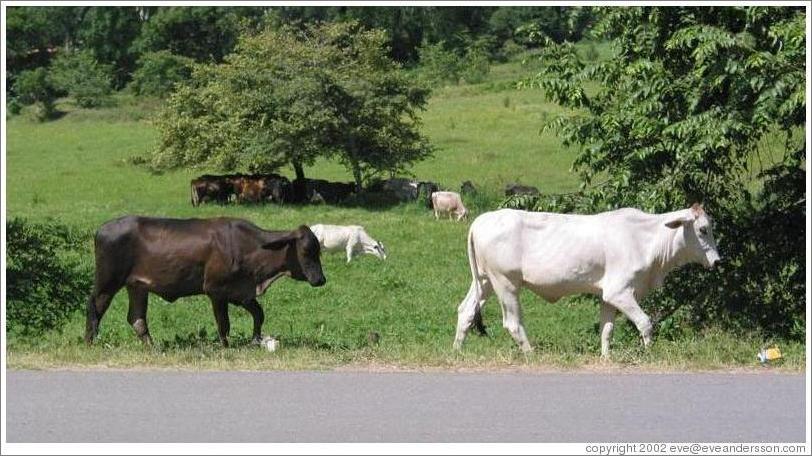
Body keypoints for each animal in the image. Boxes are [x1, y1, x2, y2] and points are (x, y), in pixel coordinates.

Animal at [82, 216, 324, 348]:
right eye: (306, 251)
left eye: (319, 250)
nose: (321, 279)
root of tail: (101, 229)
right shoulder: (216, 291)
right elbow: (224, 324)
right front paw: (225, 347)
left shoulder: (241, 293)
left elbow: (259, 314)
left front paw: (255, 339)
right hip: (107, 281)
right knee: (95, 306)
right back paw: (90, 342)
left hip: (137, 286)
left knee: (137, 318)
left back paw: (153, 347)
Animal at [450, 205, 724, 358]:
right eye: (702, 229)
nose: (718, 261)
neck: (645, 239)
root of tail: (481, 220)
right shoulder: (620, 292)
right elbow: (645, 323)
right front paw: (649, 354)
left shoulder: (608, 296)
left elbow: (607, 330)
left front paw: (605, 357)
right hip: (505, 283)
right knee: (512, 323)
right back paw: (531, 353)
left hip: (485, 281)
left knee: (466, 311)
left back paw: (457, 351)